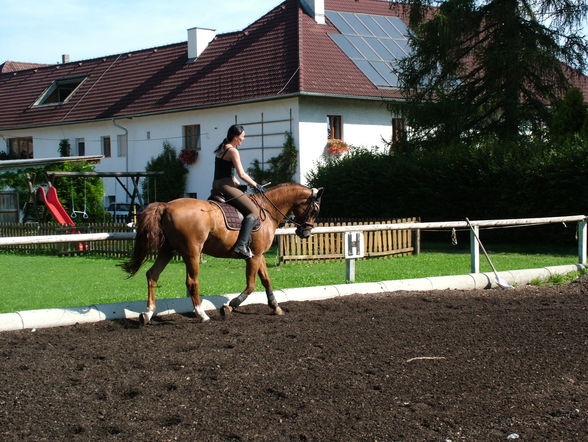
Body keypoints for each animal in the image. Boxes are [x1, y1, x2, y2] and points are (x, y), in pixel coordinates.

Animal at [119, 183, 322, 324]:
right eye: (315, 209)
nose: (306, 233)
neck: (268, 209)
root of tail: (166, 206)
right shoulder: (254, 256)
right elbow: (251, 285)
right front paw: (229, 307)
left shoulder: (259, 255)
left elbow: (266, 280)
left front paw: (275, 307)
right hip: (192, 252)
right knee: (191, 281)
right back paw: (202, 314)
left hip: (168, 250)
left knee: (152, 275)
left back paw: (147, 313)